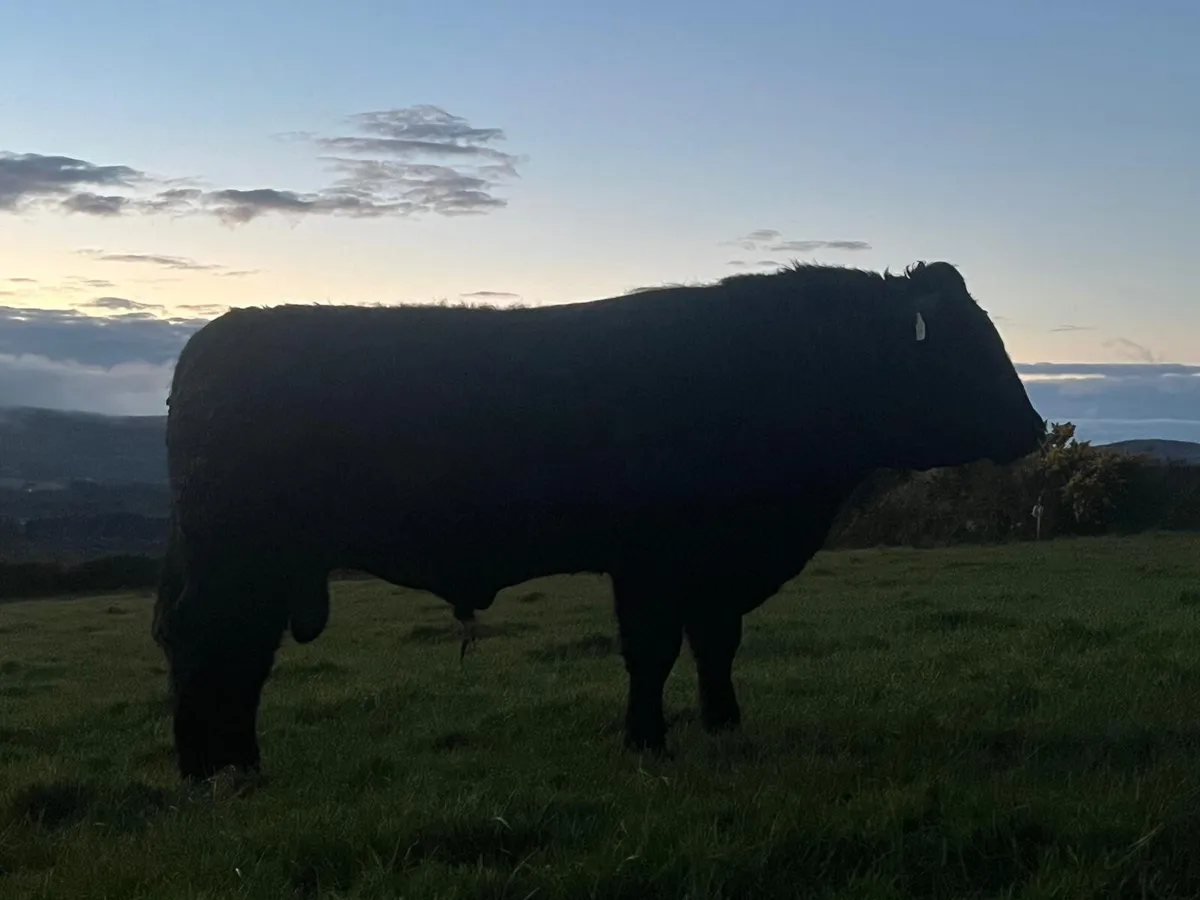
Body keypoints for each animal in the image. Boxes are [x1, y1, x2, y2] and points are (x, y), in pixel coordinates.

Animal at [151, 260, 1046, 781]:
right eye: (968, 345)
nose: (1034, 427)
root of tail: (213, 340)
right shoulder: (650, 558)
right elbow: (650, 652)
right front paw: (646, 741)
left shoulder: (715, 565)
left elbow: (716, 645)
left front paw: (724, 725)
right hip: (238, 553)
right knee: (210, 642)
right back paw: (211, 769)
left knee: (240, 650)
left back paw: (237, 762)